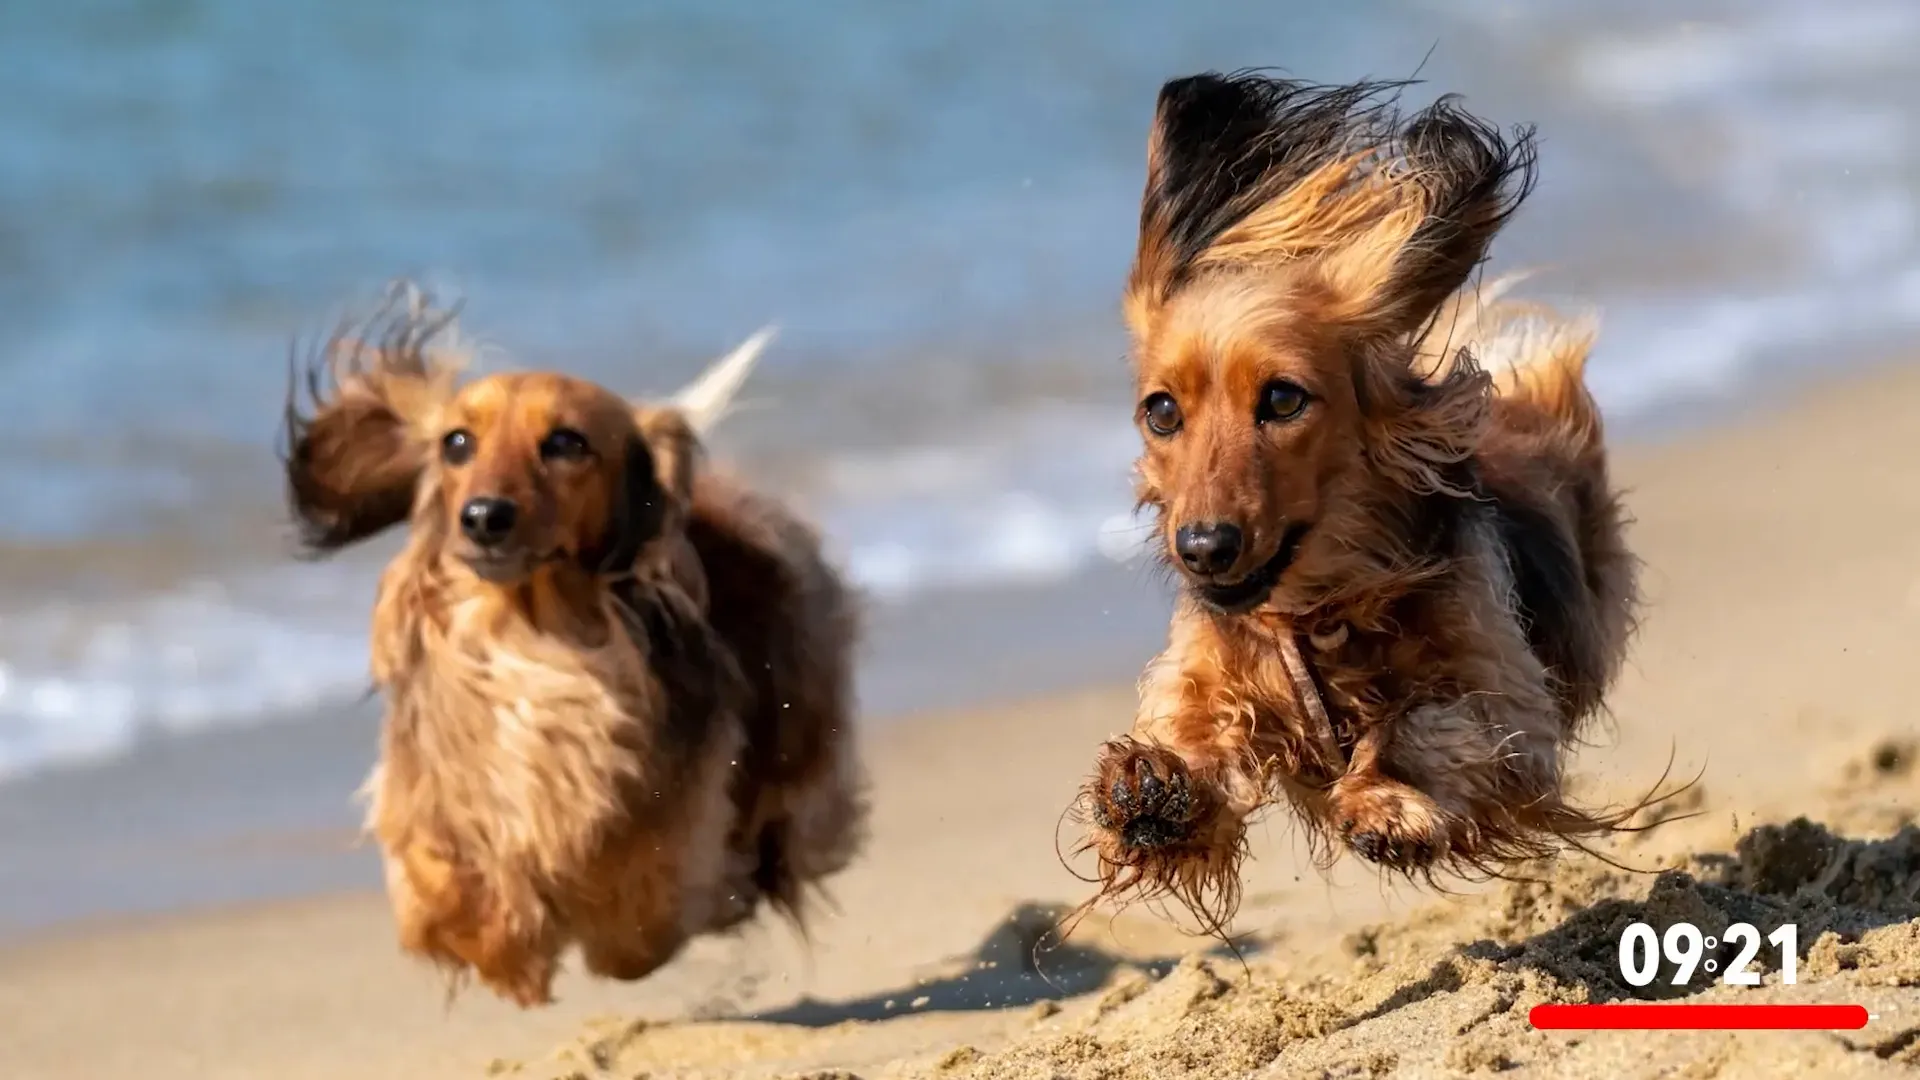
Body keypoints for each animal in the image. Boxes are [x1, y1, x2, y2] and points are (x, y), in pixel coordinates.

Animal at [278, 286, 864, 999]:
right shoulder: (436, 794)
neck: (532, 631)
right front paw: (505, 942)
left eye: (564, 442)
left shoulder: (674, 811)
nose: (483, 517)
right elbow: (442, 882)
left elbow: (638, 906)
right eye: (456, 442)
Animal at [1082, 71, 1651, 922]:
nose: (1203, 549)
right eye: (1161, 411)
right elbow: (1195, 727)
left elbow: (1425, 721)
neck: (1320, 613)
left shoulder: (1508, 703)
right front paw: (1153, 789)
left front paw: (1387, 800)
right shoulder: (1210, 667)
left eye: (1283, 400)